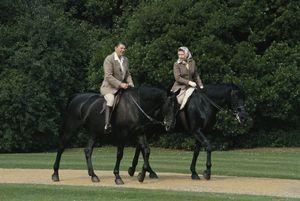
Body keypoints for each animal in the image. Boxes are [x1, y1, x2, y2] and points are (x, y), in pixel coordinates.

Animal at [51, 86, 180, 184]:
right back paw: (55, 174)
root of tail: (77, 97)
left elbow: (146, 151)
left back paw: (93, 175)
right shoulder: (122, 135)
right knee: (61, 148)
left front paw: (141, 176)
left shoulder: (140, 133)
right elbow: (120, 154)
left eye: (178, 106)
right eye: (169, 105)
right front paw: (118, 177)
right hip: (70, 129)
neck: (135, 106)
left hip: (93, 133)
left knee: (88, 151)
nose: (171, 126)